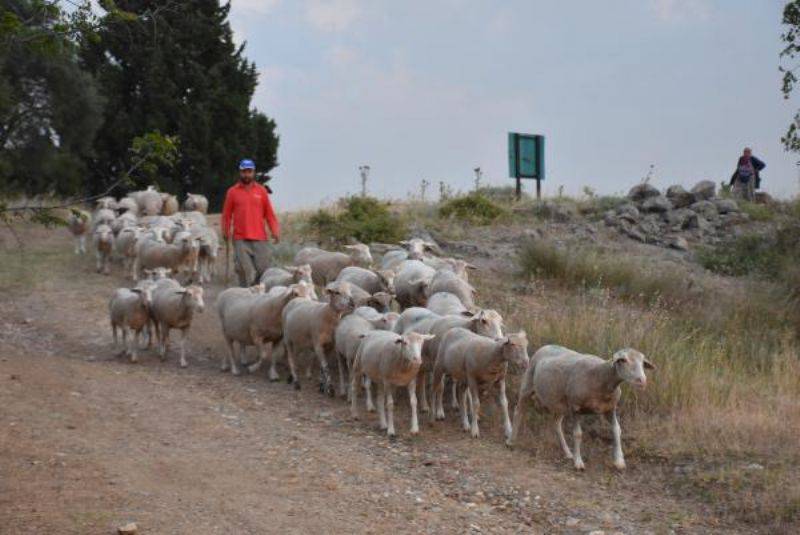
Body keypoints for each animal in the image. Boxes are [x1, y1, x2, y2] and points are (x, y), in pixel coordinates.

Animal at [510, 346, 652, 472]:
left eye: (642, 362)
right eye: (623, 360)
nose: (642, 381)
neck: (601, 378)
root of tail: (546, 346)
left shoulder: (610, 409)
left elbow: (617, 430)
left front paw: (619, 461)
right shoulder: (575, 407)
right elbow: (577, 434)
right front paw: (578, 462)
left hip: (560, 403)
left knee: (556, 424)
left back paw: (568, 452)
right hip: (528, 384)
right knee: (518, 411)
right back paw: (511, 441)